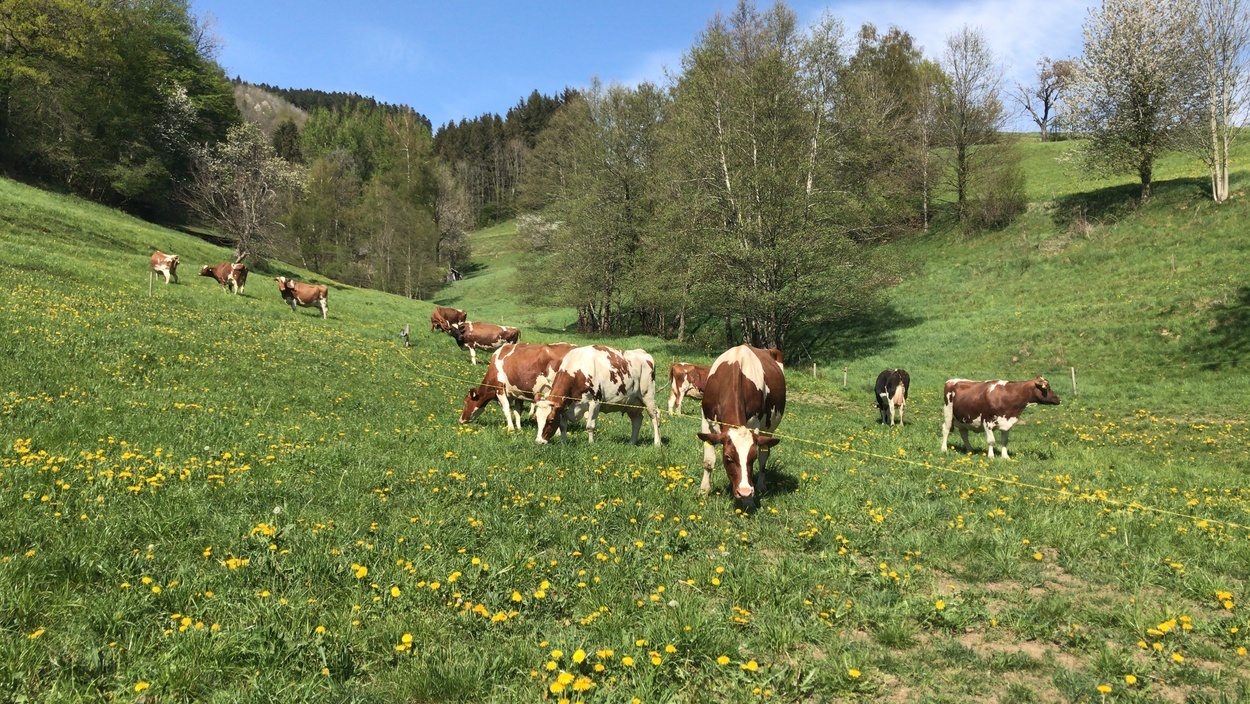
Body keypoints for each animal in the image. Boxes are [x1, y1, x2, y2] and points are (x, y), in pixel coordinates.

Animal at [532, 345, 662, 446]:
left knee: (655, 416)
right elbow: (563, 426)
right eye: (536, 419)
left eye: (550, 420)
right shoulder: (564, 406)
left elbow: (590, 425)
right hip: (632, 402)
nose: (539, 442)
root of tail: (643, 353)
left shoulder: (595, 402)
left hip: (648, 396)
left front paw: (591, 443)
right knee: (637, 420)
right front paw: (563, 444)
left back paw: (657, 443)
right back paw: (631, 442)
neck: (577, 370)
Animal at [696, 345, 786, 508]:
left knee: (764, 457)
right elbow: (708, 461)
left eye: (752, 457)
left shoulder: (754, 425)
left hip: (768, 430)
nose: (744, 491)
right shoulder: (706, 422)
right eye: (728, 457)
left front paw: (748, 501)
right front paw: (704, 491)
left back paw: (761, 485)